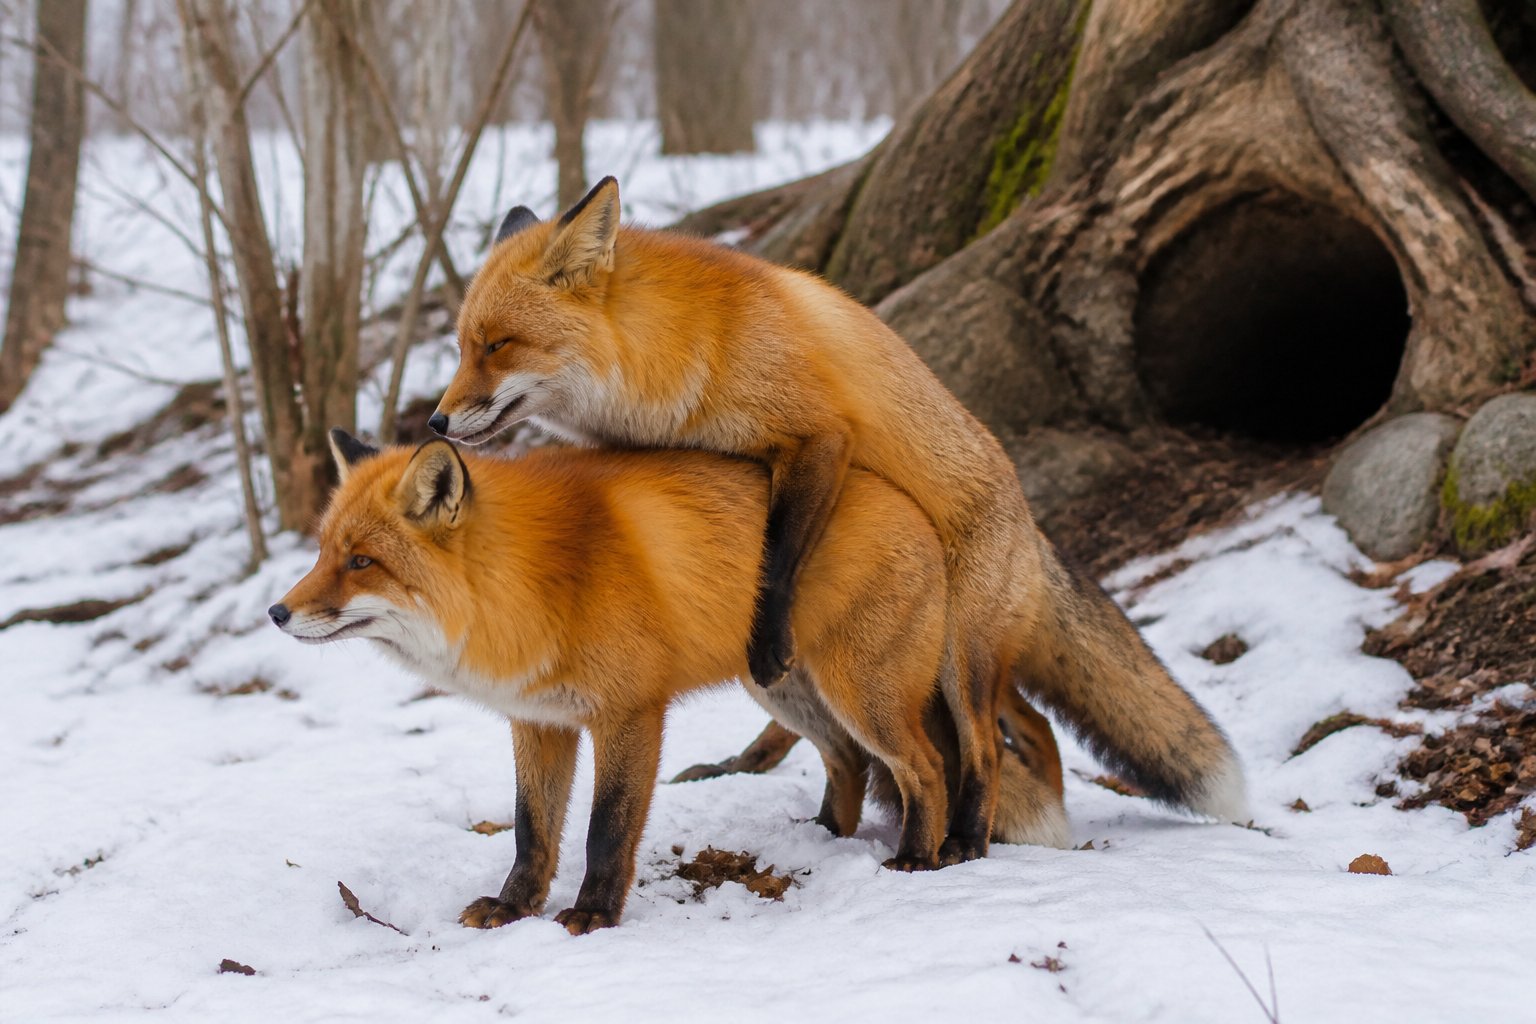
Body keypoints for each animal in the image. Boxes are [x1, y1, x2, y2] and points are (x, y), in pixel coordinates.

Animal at [271, 430, 1070, 934]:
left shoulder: (630, 714)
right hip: (781, 687)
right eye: (322, 552)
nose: (277, 612)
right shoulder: (540, 721)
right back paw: (824, 839)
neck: (531, 584)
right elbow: (533, 832)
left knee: (938, 762)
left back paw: (927, 854)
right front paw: (514, 908)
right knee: (847, 760)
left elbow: (604, 830)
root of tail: (911, 499)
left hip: (864, 691)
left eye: (362, 562)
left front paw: (594, 915)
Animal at [429, 176, 1248, 860]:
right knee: (1027, 724)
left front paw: (766, 629)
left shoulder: (818, 437)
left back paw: (964, 842)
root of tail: (1033, 528)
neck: (679, 354)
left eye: (497, 345)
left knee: (982, 746)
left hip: (959, 659)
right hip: (943, 668)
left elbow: (780, 554)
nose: (435, 422)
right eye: (463, 347)